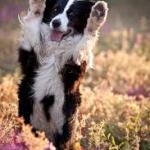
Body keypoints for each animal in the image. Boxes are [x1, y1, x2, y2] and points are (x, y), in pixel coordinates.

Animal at [17, 0, 108, 148]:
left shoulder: (75, 65)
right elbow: (33, 21)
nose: (55, 23)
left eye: (72, 14)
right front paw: (38, 5)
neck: (57, 46)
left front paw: (97, 13)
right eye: (55, 10)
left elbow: (87, 36)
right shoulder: (30, 57)